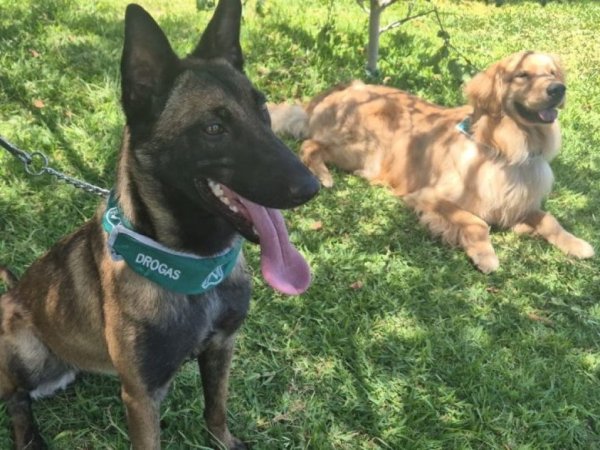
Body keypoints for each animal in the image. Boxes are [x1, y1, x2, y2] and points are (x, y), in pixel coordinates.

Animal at [0, 1, 319, 449]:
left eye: (262, 108)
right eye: (214, 128)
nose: (311, 187)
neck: (193, 266)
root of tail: (13, 292)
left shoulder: (222, 347)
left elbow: (215, 409)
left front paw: (224, 440)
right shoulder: (142, 394)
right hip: (27, 350)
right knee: (16, 397)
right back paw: (29, 437)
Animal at [270, 51, 594, 272]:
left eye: (552, 73)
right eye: (522, 75)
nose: (558, 89)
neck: (506, 149)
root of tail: (345, 87)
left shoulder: (518, 205)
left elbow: (550, 220)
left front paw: (576, 244)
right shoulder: (427, 196)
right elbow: (477, 222)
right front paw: (485, 255)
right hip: (363, 145)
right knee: (310, 145)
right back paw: (323, 175)